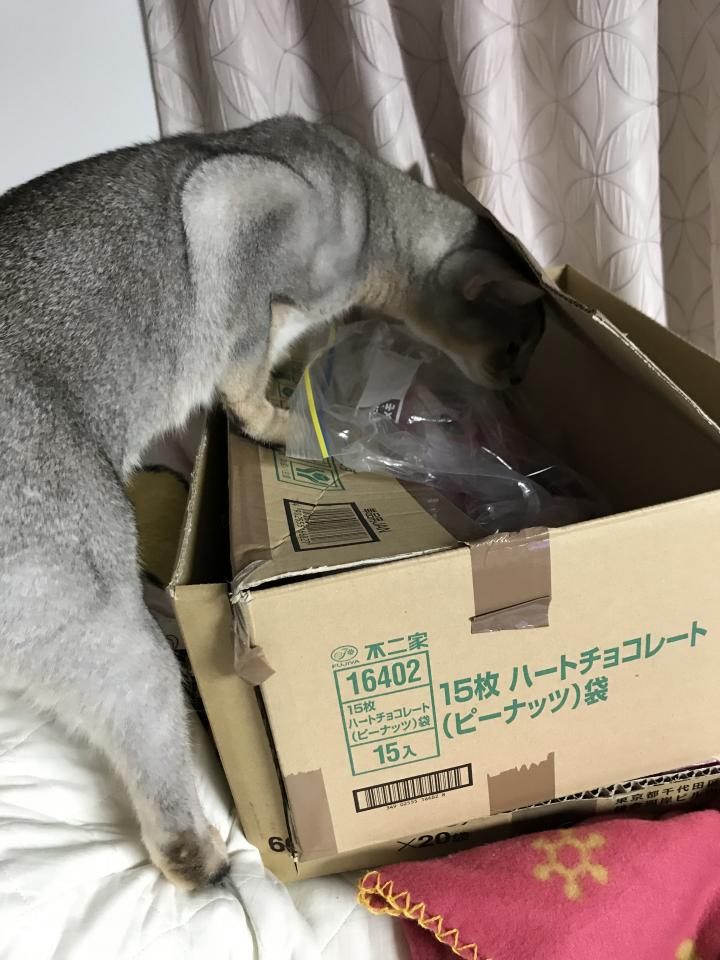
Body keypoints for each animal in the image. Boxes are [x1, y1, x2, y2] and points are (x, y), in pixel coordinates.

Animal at [0, 116, 544, 889]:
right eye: (515, 350)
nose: (520, 385)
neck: (370, 202)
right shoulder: (236, 206)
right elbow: (244, 378)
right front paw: (289, 423)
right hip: (104, 610)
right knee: (145, 730)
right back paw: (202, 859)